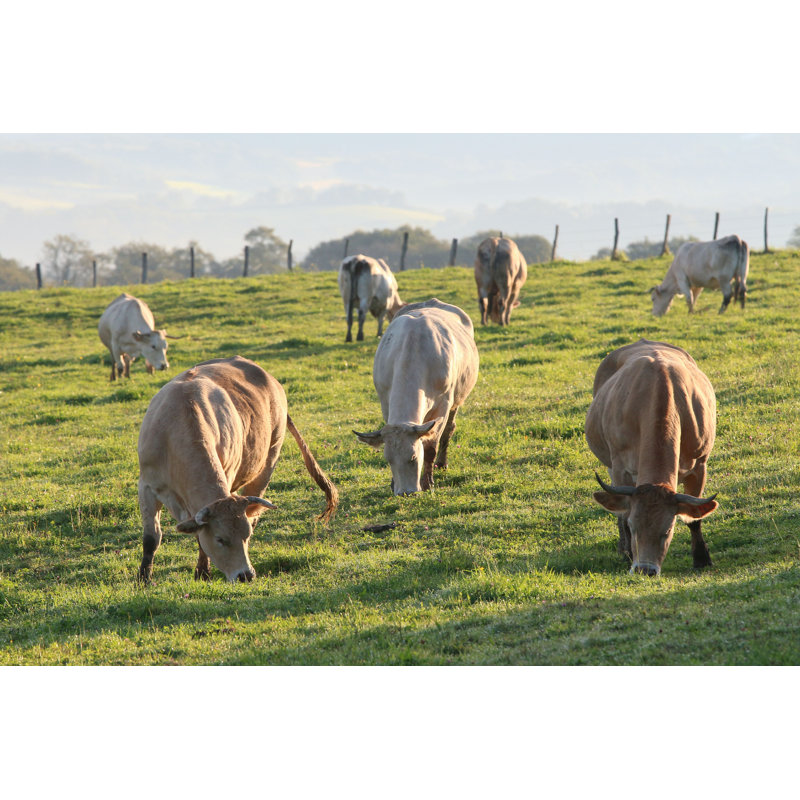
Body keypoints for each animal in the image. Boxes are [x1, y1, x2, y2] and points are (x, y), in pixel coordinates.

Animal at [137, 356, 338, 583]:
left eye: (246, 536)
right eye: (220, 539)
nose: (246, 575)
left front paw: (202, 572)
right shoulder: (146, 486)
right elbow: (152, 537)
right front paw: (144, 578)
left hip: (268, 460)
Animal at [354, 298, 479, 495]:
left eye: (413, 457)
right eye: (388, 460)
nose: (405, 492)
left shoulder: (443, 405)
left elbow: (430, 447)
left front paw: (427, 483)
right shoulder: (385, 402)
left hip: (456, 400)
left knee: (449, 430)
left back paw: (441, 463)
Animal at [585, 339, 719, 576]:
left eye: (668, 530)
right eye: (634, 526)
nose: (644, 569)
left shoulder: (700, 464)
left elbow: (695, 519)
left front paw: (702, 558)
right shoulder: (620, 467)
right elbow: (623, 512)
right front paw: (628, 553)